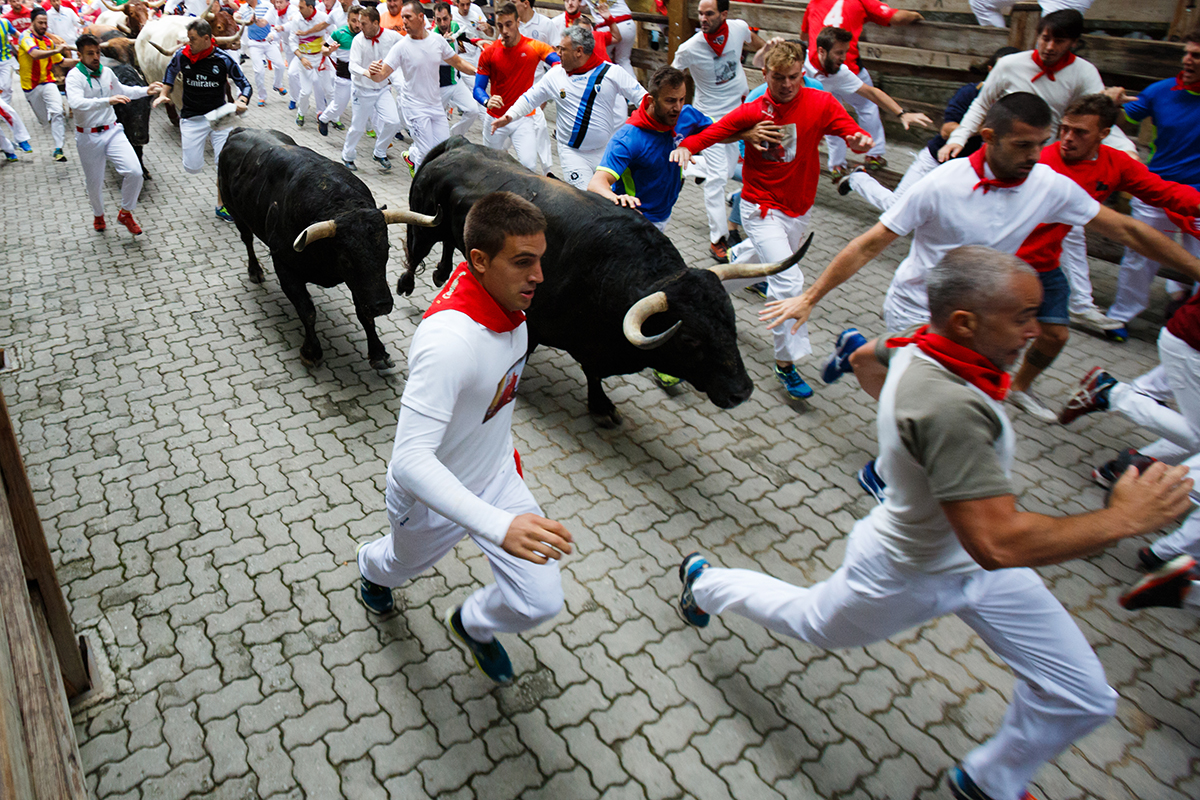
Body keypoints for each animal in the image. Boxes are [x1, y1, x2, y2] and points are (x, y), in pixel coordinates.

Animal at [218, 128, 439, 371]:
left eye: (386, 251)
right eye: (346, 259)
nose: (381, 305)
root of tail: (240, 131)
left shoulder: (359, 283)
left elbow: (363, 313)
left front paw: (378, 352)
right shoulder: (284, 264)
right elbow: (307, 310)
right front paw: (311, 351)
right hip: (235, 211)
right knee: (247, 239)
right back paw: (255, 271)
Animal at [403, 137, 806, 429]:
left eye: (730, 323)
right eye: (691, 338)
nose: (742, 391)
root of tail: (459, 145)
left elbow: (593, 372)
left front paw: (600, 404)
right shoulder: (536, 319)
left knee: (448, 244)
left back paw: (441, 273)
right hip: (425, 221)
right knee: (416, 246)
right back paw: (408, 282)